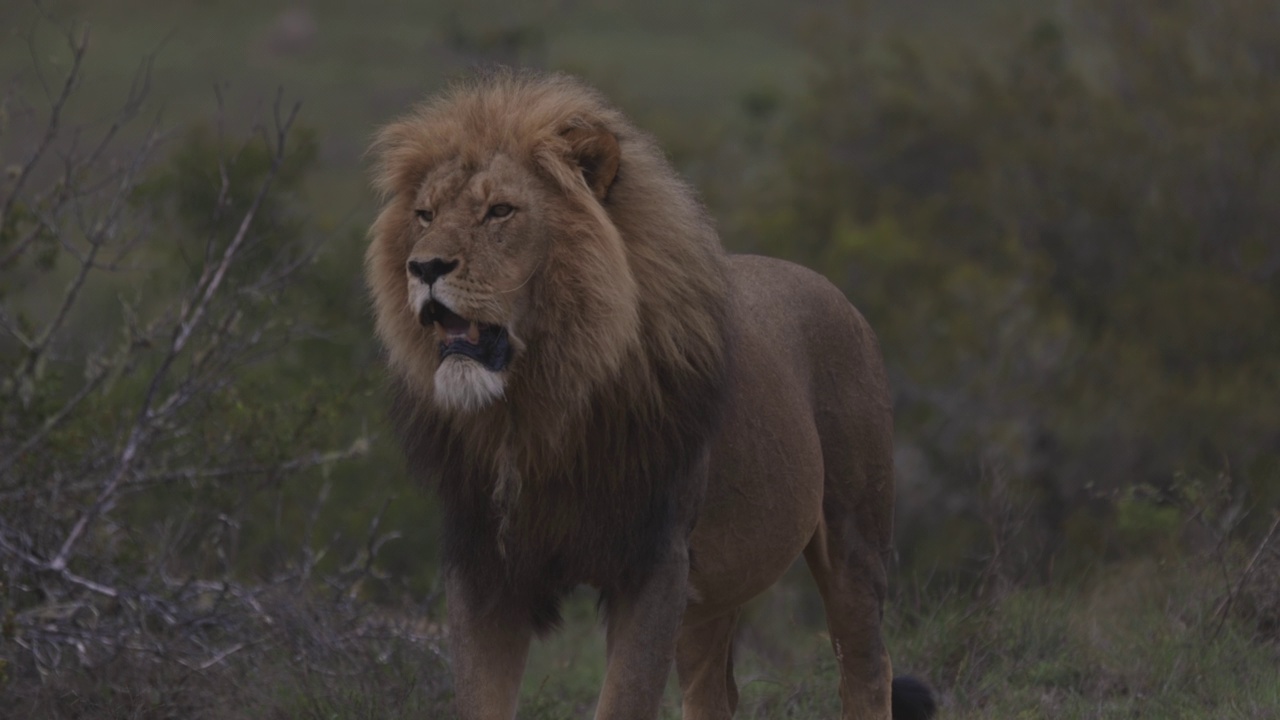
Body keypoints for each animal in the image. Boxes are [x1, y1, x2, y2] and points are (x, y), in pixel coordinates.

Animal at [366, 71, 936, 717]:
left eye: (500, 211)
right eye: (424, 214)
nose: (423, 267)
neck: (536, 405)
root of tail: (836, 293)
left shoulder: (655, 562)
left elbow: (625, 700)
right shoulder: (485, 566)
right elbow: (480, 700)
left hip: (853, 537)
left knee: (867, 668)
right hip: (713, 588)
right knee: (715, 691)